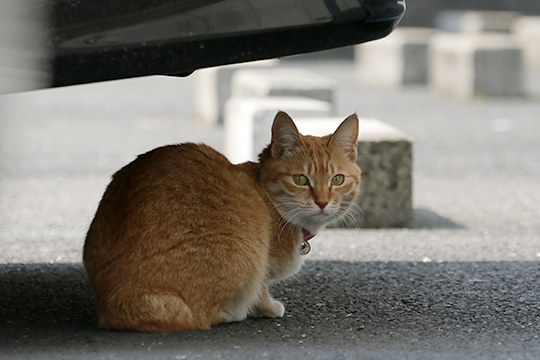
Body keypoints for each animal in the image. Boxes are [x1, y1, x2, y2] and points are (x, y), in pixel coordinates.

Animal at [84, 110, 360, 332]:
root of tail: (118, 303)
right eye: (300, 180)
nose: (322, 203)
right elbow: (260, 290)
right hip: (246, 255)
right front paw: (269, 308)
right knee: (199, 317)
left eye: (337, 179)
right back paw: (233, 313)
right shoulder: (261, 264)